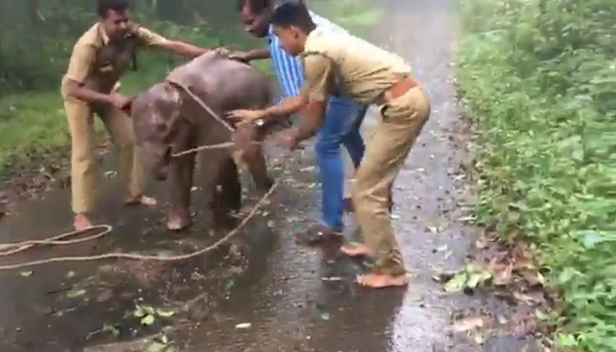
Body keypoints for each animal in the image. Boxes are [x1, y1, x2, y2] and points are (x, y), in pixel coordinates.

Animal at [132, 51, 274, 230]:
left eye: (163, 128)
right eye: (136, 137)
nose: (162, 171)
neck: (173, 86)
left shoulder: (212, 107)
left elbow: (212, 152)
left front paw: (216, 218)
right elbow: (182, 160)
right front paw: (176, 226)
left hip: (257, 104)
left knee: (248, 147)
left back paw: (262, 196)